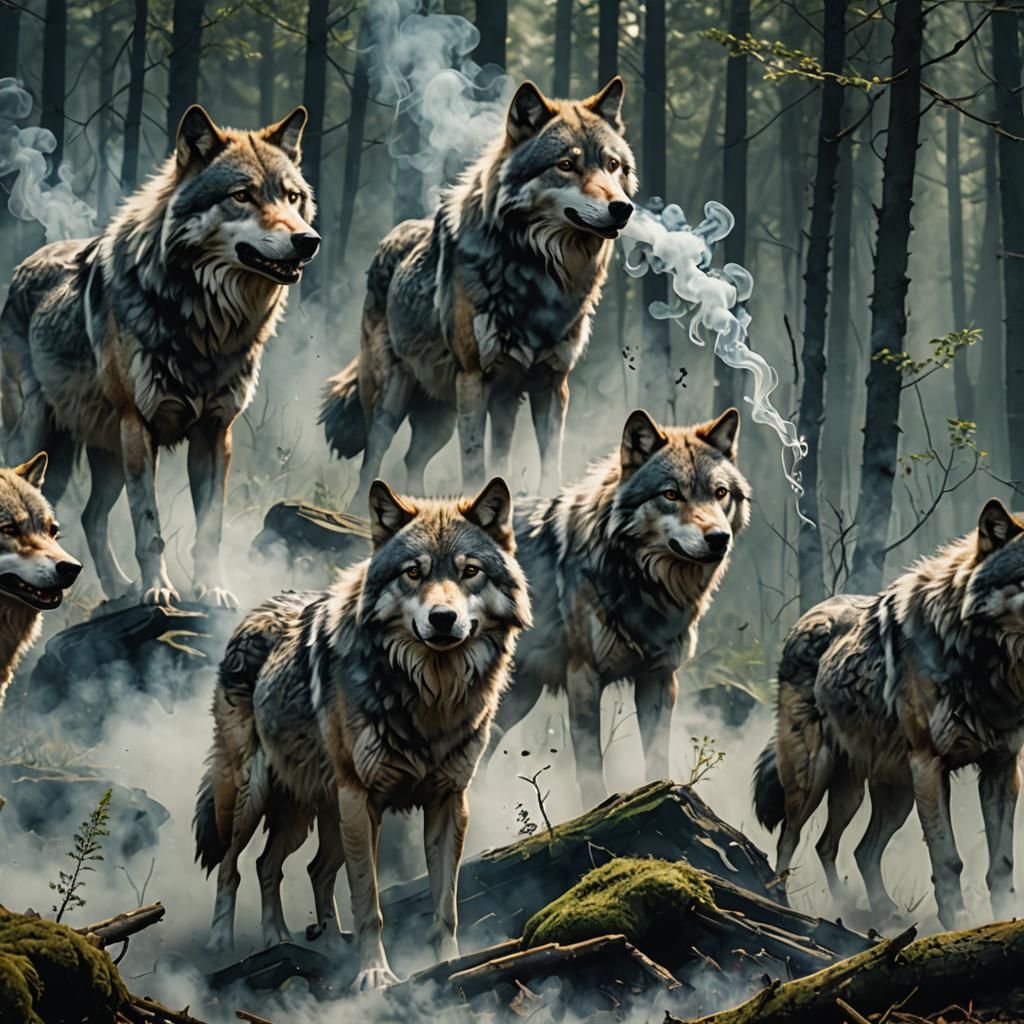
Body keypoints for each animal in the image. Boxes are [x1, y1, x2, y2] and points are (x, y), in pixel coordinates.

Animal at [1, 105, 319, 607]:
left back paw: (117, 589)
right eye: (242, 196)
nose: (309, 240)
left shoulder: (215, 434)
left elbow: (210, 529)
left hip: (105, 453)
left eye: (291, 197)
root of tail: (25, 264)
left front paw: (212, 590)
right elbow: (148, 526)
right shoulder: (138, 429)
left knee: (91, 516)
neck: (205, 328)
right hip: (39, 436)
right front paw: (158, 591)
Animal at [194, 478, 530, 989]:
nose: (443, 618)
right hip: (253, 796)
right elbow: (368, 903)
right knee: (233, 866)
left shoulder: (448, 801)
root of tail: (258, 609)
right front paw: (374, 975)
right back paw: (222, 945)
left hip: (311, 813)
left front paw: (448, 962)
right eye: (413, 573)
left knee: (284, 867)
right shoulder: (361, 799)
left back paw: (291, 942)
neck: (431, 696)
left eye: (469, 571)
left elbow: (445, 906)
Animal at [320, 77, 637, 505]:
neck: (540, 278)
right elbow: (474, 464)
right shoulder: (474, 379)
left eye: (612, 165)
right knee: (374, 455)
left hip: (442, 417)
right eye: (566, 165)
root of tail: (392, 237)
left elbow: (545, 461)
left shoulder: (550, 383)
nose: (623, 208)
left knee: (412, 459)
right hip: (393, 395)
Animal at [489, 408, 750, 808]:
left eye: (720, 493)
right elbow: (590, 766)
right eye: (671, 494)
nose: (719, 538)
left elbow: (656, 755)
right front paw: (597, 809)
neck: (644, 586)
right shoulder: (583, 676)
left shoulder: (660, 678)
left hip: (517, 698)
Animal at [754, 499, 1024, 929]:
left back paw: (868, 911)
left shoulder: (1002, 766)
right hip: (815, 777)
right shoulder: (929, 765)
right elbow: (948, 860)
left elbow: (1001, 863)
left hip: (884, 795)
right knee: (789, 840)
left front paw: (1003, 919)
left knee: (843, 847)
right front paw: (958, 923)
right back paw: (787, 905)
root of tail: (809, 614)